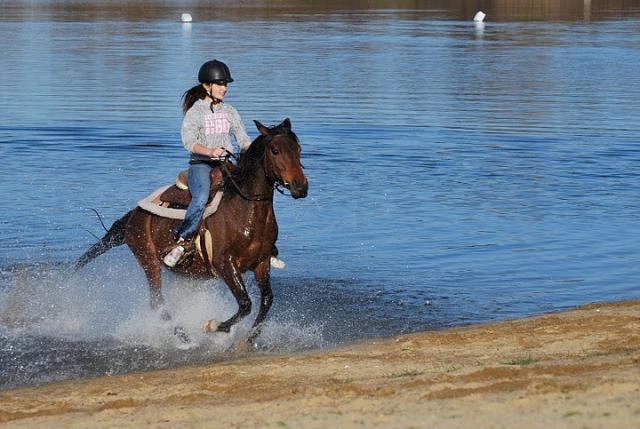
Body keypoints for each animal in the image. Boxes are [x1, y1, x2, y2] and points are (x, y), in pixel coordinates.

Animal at [76, 118, 308, 342]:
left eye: (298, 148)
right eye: (275, 150)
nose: (301, 186)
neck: (247, 211)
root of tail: (135, 214)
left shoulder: (261, 263)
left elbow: (267, 301)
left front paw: (248, 339)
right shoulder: (225, 264)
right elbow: (245, 303)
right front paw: (212, 326)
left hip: (186, 273)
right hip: (149, 260)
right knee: (157, 302)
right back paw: (184, 336)